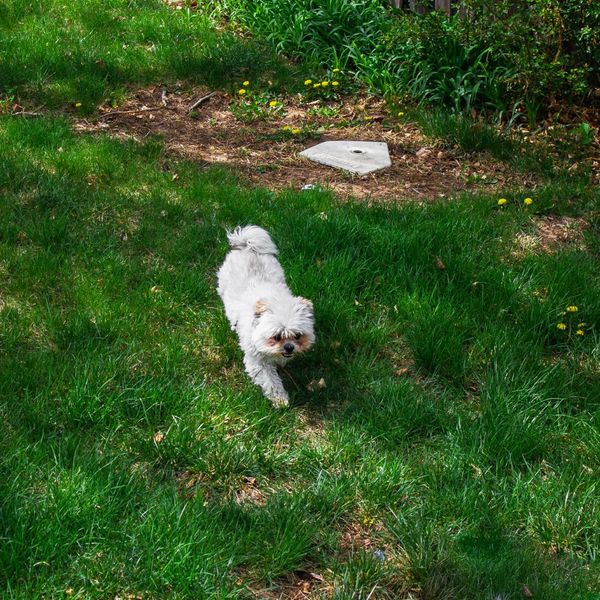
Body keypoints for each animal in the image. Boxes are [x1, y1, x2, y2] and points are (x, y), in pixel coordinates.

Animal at [218, 226, 316, 408]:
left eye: (297, 336)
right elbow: (270, 381)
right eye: (276, 337)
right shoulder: (258, 361)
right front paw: (280, 399)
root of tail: (246, 246)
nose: (289, 347)